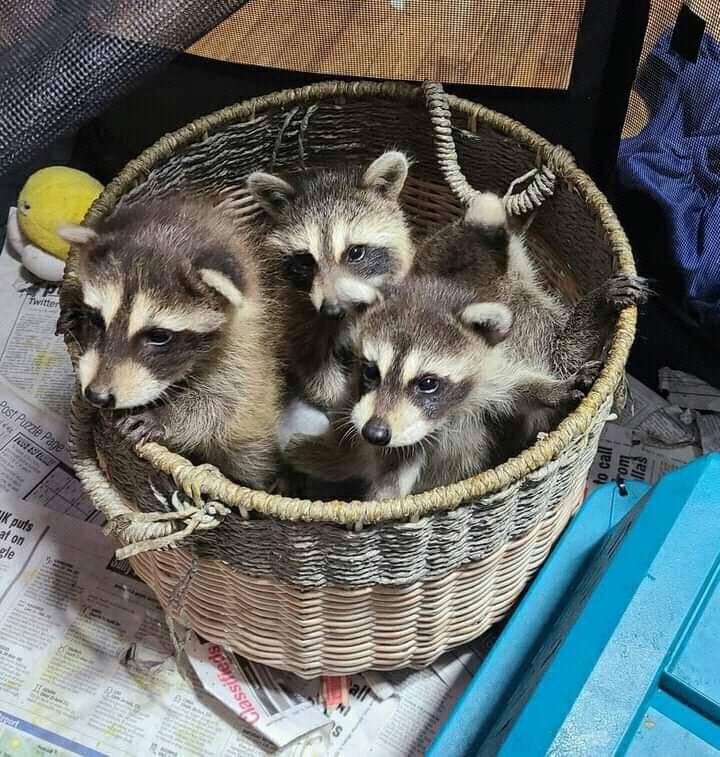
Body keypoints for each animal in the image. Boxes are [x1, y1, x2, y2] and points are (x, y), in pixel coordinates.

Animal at [57, 195, 286, 490]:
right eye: (96, 319)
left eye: (159, 336)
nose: (97, 395)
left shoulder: (250, 348)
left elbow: (226, 404)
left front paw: (166, 416)